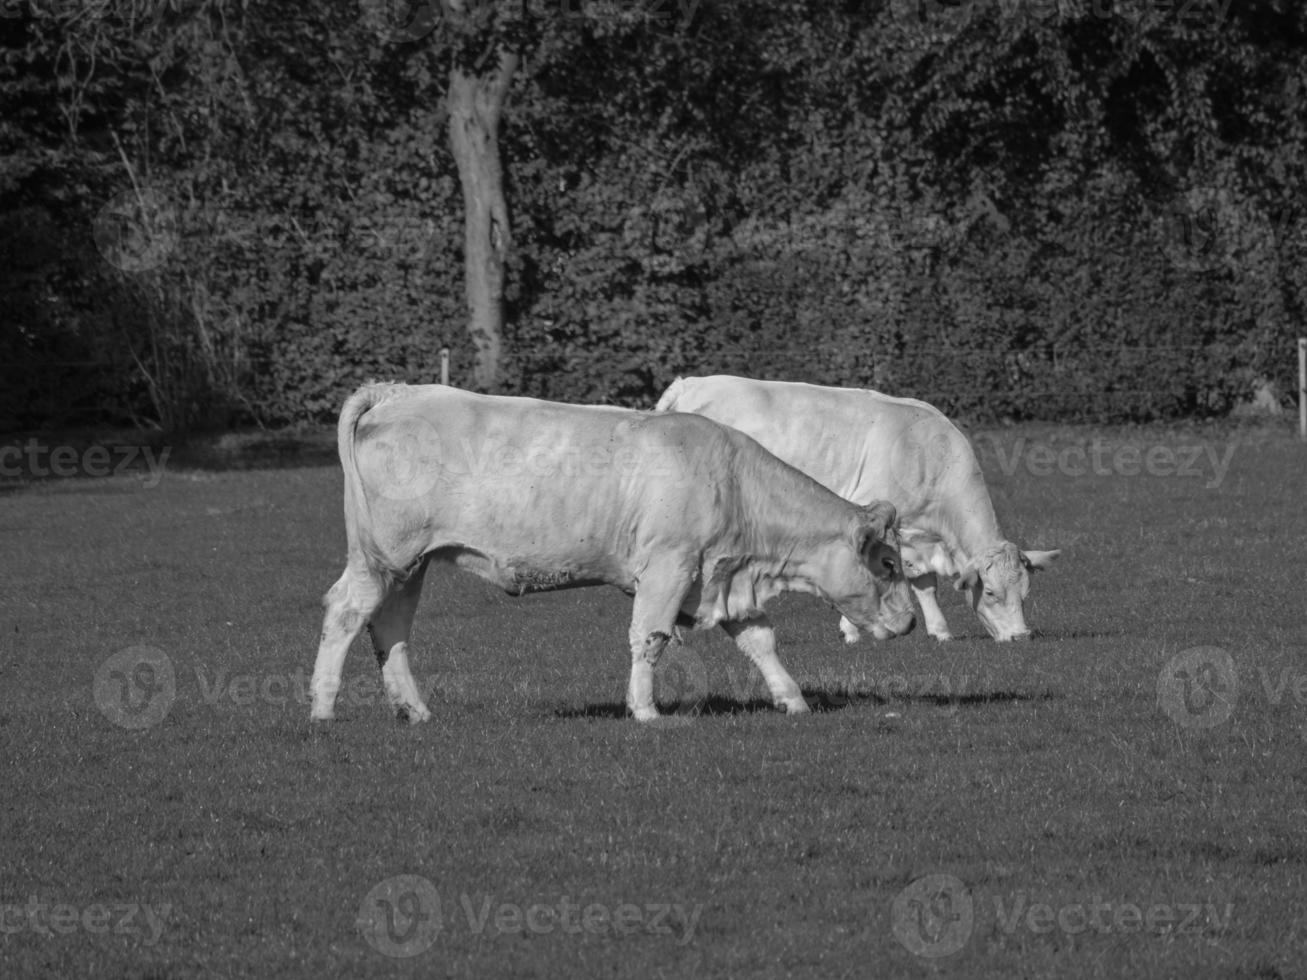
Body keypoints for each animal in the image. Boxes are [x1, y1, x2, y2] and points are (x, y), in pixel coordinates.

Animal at [309, 386, 914, 726]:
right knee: (346, 612)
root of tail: (400, 393)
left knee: (390, 627)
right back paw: (322, 709)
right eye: (888, 564)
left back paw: (414, 710)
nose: (910, 622)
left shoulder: (719, 577)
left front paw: (793, 701)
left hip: (409, 564)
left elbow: (760, 641)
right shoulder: (669, 568)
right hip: (382, 557)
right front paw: (644, 711)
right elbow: (649, 638)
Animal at [653, 376, 1061, 645]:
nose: (1021, 636)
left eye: (1025, 593)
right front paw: (854, 631)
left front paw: (940, 631)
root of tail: (691, 383)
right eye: (989, 592)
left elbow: (923, 581)